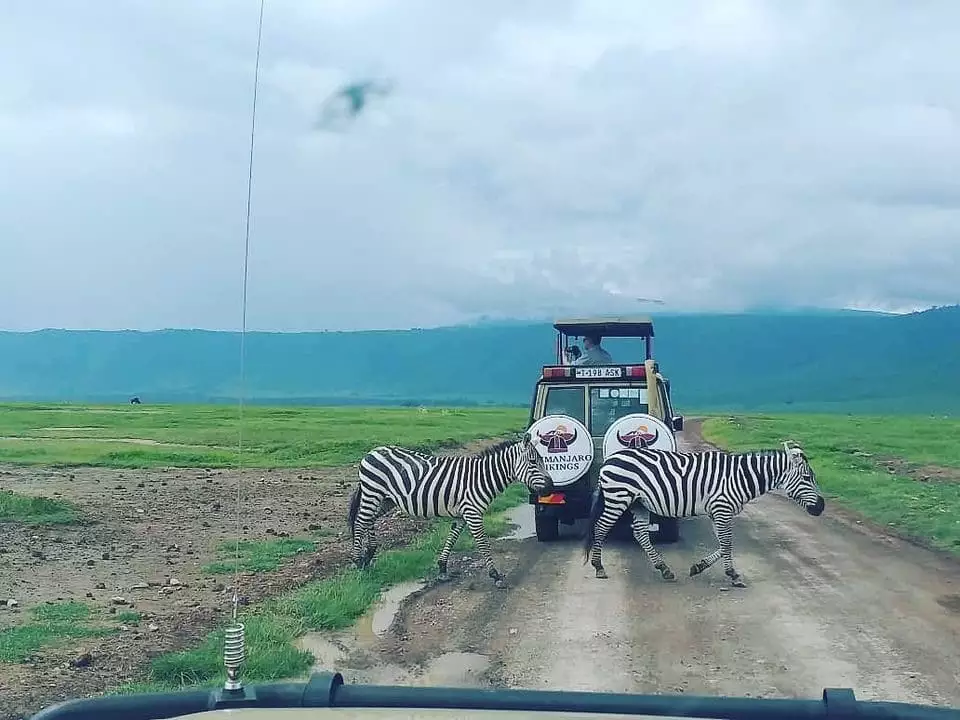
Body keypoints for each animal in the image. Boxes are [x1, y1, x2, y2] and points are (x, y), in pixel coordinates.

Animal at [344, 430, 556, 588]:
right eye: (533, 462)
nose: (550, 487)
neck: (482, 478)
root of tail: (372, 452)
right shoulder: (473, 513)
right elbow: (483, 543)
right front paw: (496, 575)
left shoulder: (463, 514)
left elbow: (452, 537)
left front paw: (442, 568)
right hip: (373, 492)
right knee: (361, 521)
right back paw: (358, 561)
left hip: (386, 499)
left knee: (370, 519)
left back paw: (369, 554)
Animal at [580, 442, 820, 588]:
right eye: (807, 478)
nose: (821, 507)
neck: (741, 477)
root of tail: (609, 459)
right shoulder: (722, 509)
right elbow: (727, 543)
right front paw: (733, 575)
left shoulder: (717, 511)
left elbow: (724, 544)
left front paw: (699, 567)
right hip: (619, 497)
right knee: (601, 528)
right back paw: (599, 567)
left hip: (639, 503)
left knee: (640, 534)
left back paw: (664, 569)